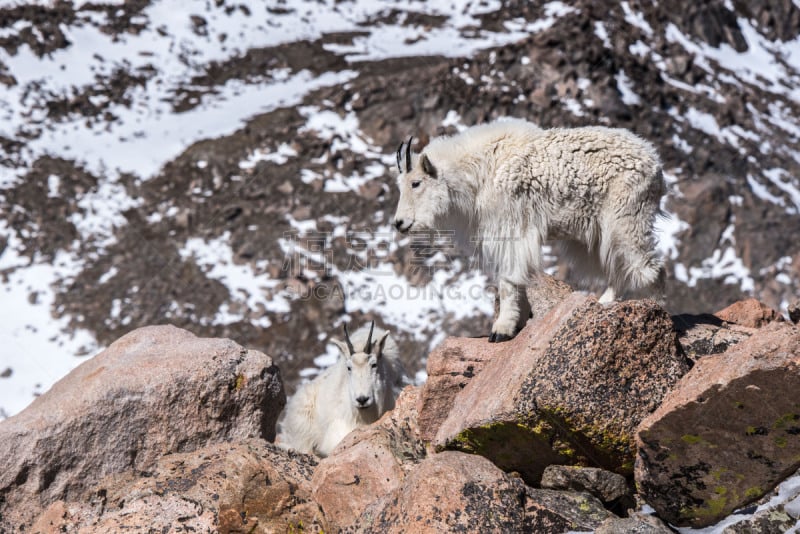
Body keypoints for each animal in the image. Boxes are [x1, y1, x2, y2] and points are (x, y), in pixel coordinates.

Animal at [392, 118, 664, 344]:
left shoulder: (509, 228)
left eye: (416, 183)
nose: (399, 223)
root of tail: (656, 165)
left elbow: (507, 280)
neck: (478, 173)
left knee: (650, 269)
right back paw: (605, 302)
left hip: (627, 219)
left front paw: (501, 330)